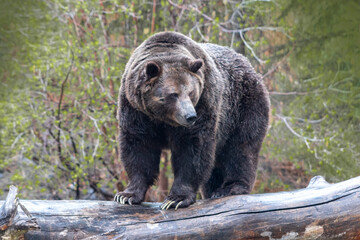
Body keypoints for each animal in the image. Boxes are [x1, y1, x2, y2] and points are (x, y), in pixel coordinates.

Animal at [114, 31, 268, 210]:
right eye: (173, 94)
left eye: (191, 92)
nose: (190, 116)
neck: (162, 119)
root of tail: (248, 65)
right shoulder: (135, 110)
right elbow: (139, 148)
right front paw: (127, 195)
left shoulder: (205, 102)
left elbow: (193, 150)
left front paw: (176, 199)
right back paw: (212, 190)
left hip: (243, 106)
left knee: (240, 148)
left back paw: (230, 187)